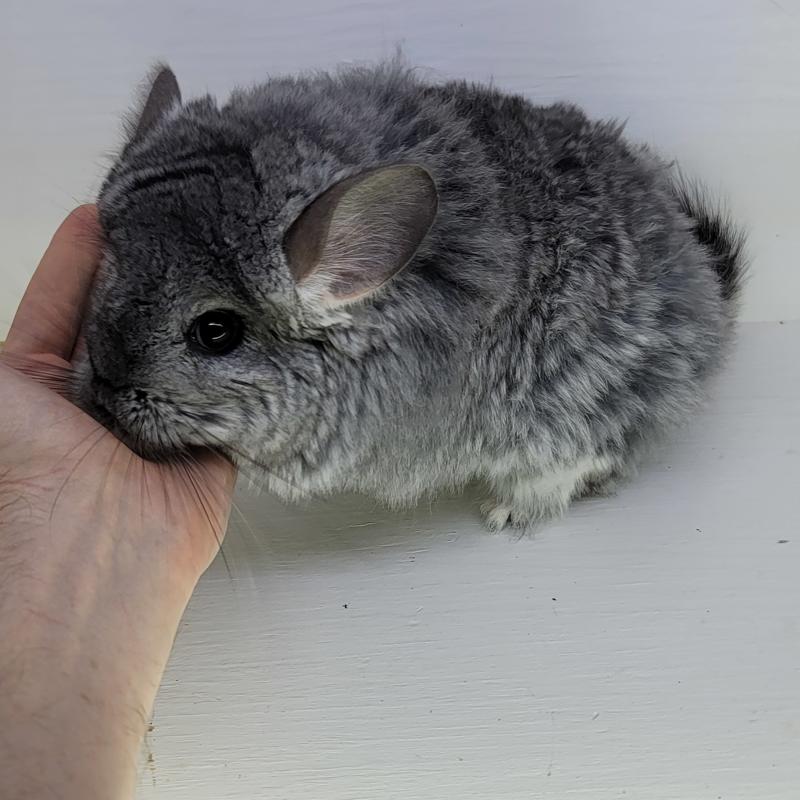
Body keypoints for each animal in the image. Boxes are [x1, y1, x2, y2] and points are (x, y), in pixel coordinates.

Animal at [74, 60, 745, 531]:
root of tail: (699, 281)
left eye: (216, 332)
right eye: (107, 271)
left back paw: (506, 511)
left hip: (574, 414)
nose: (103, 391)